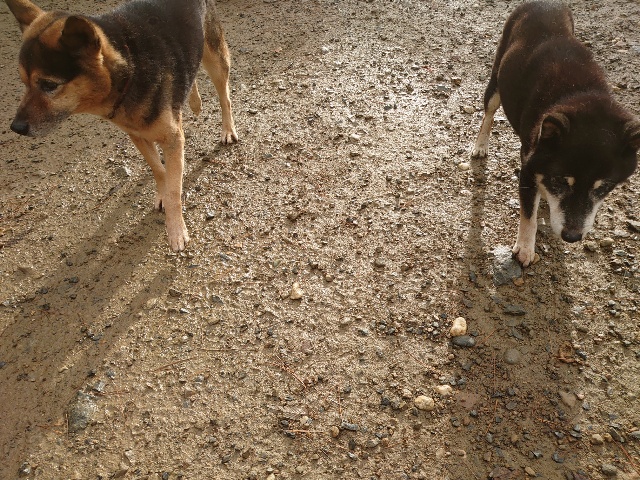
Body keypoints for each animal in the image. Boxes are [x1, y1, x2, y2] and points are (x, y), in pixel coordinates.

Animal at [6, 0, 238, 251]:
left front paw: (176, 230)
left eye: (49, 85)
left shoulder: (172, 139)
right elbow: (159, 171)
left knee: (224, 96)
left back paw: (228, 130)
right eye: (24, 83)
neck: (129, 70)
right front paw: (162, 193)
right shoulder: (138, 136)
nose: (16, 127)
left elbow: (175, 189)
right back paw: (194, 101)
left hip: (215, 58)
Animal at [471, 1, 640, 266]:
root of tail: (543, 2)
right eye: (561, 181)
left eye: (603, 188)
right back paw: (480, 145)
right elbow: (528, 215)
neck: (579, 93)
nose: (572, 237)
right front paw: (525, 249)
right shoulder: (528, 166)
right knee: (488, 114)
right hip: (496, 80)